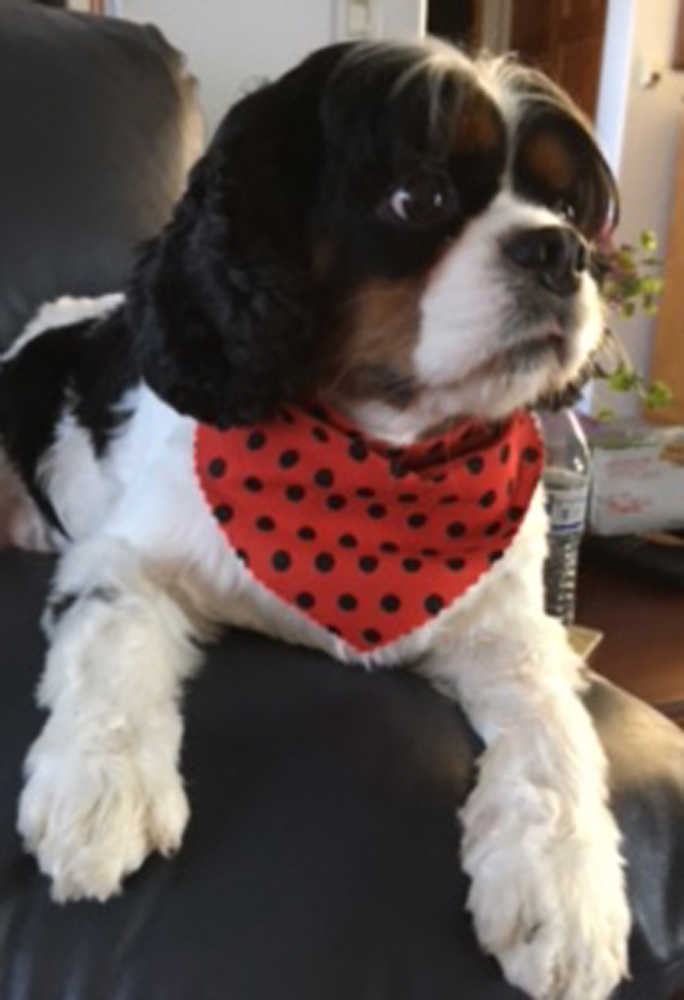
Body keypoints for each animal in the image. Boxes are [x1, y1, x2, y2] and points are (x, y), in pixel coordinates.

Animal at [0, 39, 632, 1000]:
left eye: (567, 208)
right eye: (419, 196)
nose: (564, 252)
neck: (380, 460)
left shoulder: (507, 627)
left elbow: (555, 726)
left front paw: (564, 884)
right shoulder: (124, 559)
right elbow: (112, 641)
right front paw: (100, 790)